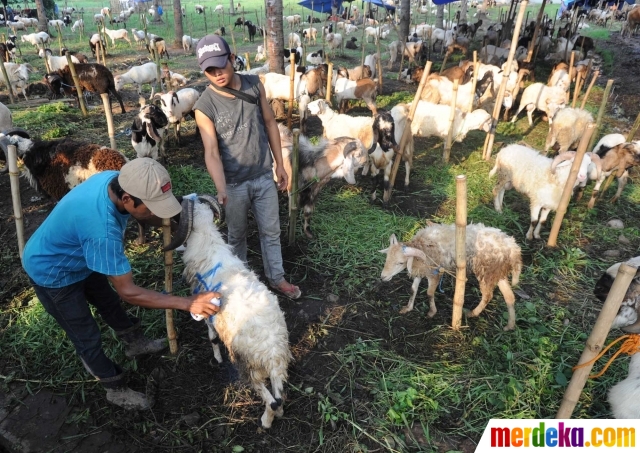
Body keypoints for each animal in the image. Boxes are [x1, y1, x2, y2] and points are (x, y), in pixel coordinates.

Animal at [166, 197, 294, 428]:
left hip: (247, 363)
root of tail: (271, 351)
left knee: (270, 399)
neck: (207, 241)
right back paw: (278, 413)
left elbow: (212, 337)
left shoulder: (207, 312)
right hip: (278, 363)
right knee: (279, 395)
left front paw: (217, 359)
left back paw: (265, 421)